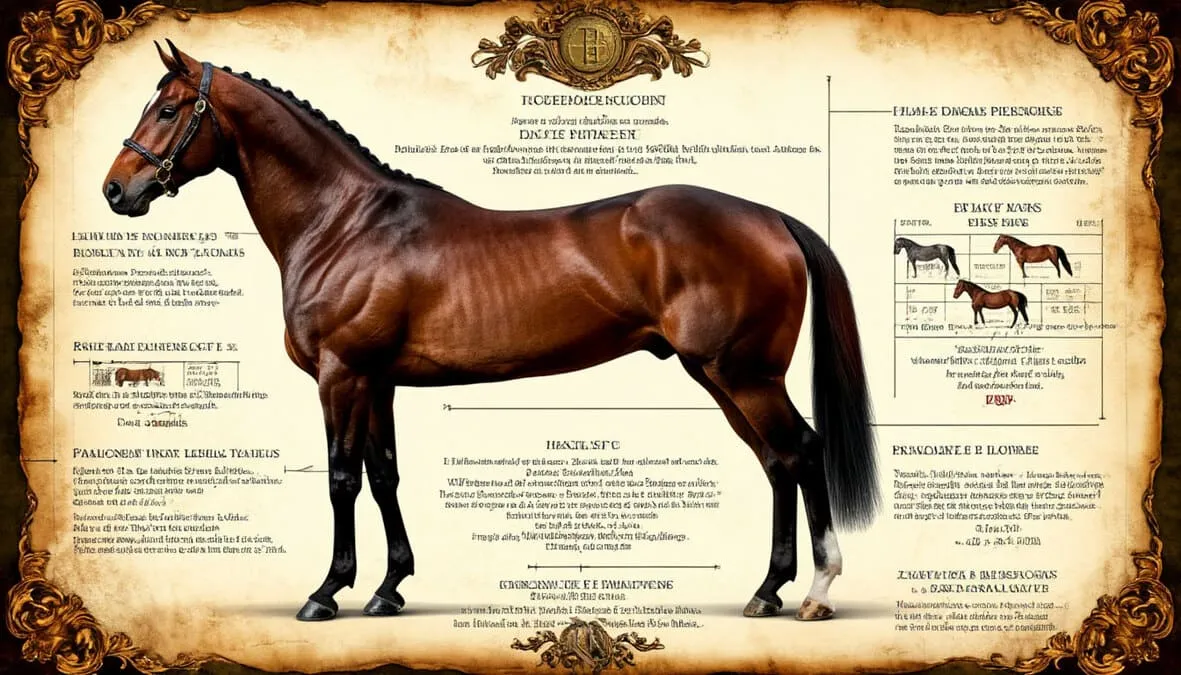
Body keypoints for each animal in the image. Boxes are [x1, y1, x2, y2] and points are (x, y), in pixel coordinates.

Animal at [102, 40, 880, 623]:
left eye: (168, 109)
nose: (116, 190)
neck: (344, 224)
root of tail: (770, 216)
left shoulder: (341, 374)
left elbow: (341, 478)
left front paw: (326, 593)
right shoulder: (378, 381)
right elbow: (384, 474)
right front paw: (389, 589)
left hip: (742, 374)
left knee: (800, 451)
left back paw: (814, 593)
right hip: (723, 376)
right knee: (777, 462)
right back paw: (767, 591)